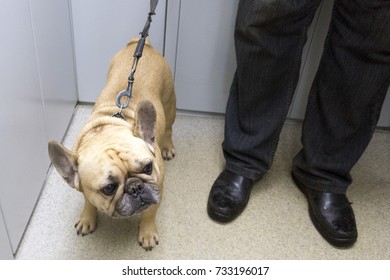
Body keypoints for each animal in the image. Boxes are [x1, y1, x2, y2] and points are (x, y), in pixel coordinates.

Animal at [48, 37, 175, 249]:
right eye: (108, 188)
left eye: (148, 168)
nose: (135, 187)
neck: (106, 131)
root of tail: (142, 43)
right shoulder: (87, 190)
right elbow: (88, 202)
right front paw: (87, 218)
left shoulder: (158, 187)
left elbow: (149, 212)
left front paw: (147, 233)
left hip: (170, 103)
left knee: (168, 128)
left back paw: (167, 146)